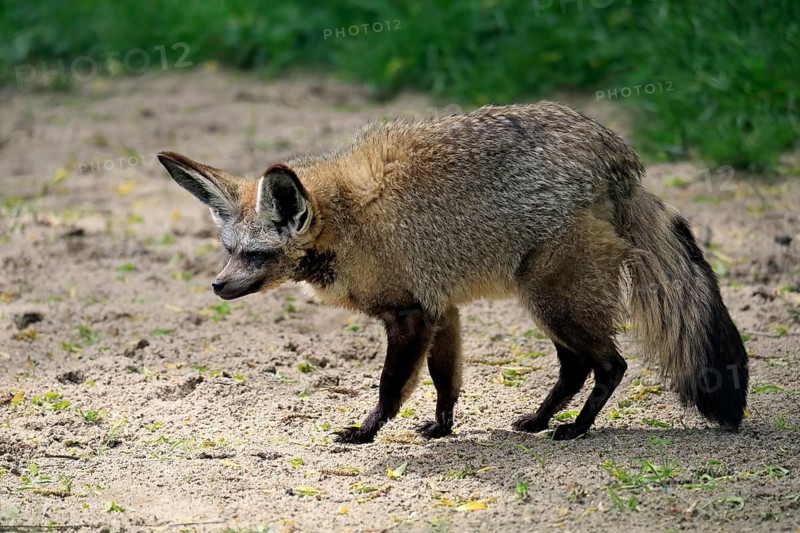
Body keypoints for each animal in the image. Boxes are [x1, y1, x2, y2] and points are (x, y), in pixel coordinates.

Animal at [157, 101, 748, 443]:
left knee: (610, 365)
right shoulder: (443, 309)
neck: (348, 223)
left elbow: (392, 387)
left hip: (551, 301)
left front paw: (366, 432)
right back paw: (540, 421)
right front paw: (442, 428)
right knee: (577, 368)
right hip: (554, 306)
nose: (217, 285)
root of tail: (614, 150)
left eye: (255, 256)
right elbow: (446, 380)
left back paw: (576, 429)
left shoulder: (410, 314)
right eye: (228, 250)